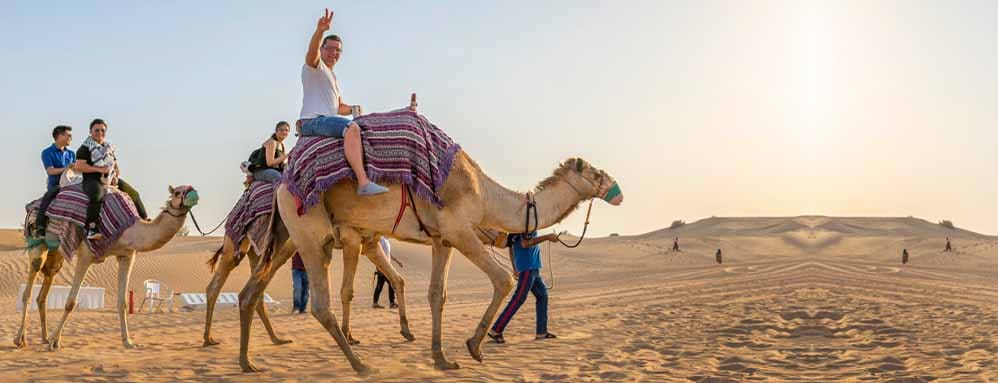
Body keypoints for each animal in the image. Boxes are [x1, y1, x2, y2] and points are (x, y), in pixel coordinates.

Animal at [14, 186, 199, 352]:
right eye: (178, 192)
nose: (194, 194)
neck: (129, 229)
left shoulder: (126, 256)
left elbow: (123, 302)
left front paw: (128, 342)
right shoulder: (86, 254)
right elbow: (70, 302)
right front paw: (54, 342)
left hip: (56, 253)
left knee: (43, 291)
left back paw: (44, 338)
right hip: (38, 243)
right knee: (29, 286)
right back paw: (21, 339)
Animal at [236, 154, 624, 374]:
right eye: (595, 173)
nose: (618, 190)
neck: (485, 194)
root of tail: (281, 186)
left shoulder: (442, 239)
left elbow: (438, 294)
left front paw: (442, 359)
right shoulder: (460, 229)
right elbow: (504, 279)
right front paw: (474, 347)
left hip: (288, 237)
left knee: (250, 291)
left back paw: (247, 362)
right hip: (309, 233)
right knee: (319, 303)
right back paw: (361, 365)